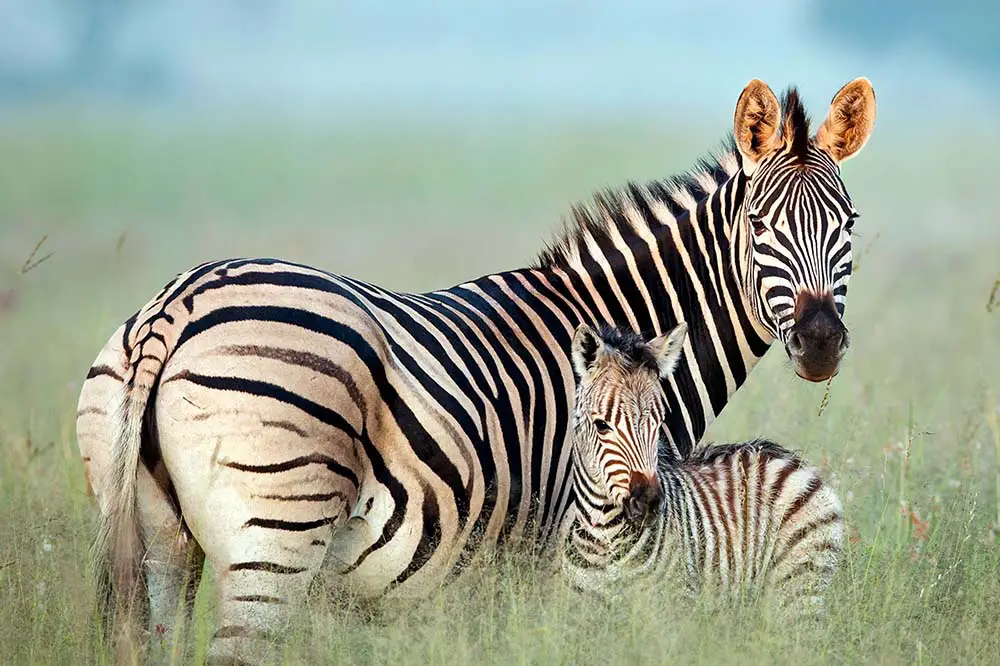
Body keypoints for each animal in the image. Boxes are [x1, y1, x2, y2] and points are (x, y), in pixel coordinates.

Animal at [564, 320, 844, 612]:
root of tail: (789, 457)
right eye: (601, 425)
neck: (603, 535)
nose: (650, 503)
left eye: (658, 423)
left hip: (799, 588)